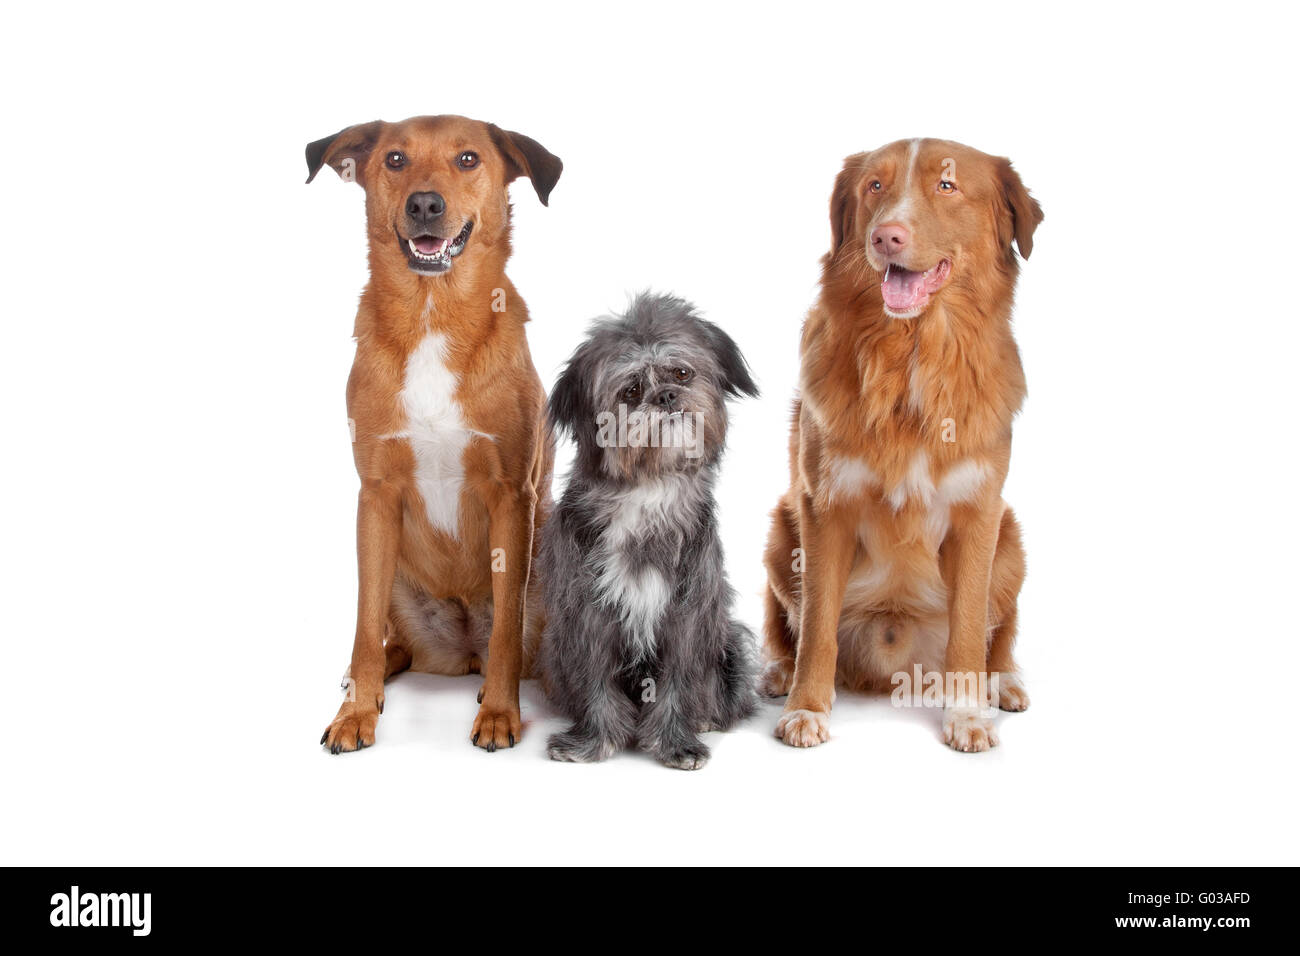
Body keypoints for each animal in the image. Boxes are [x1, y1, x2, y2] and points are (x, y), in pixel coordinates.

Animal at [310, 113, 564, 754]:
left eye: (468, 159)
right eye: (395, 160)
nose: (425, 203)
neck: (433, 313)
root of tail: (458, 651)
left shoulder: (511, 495)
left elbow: (507, 638)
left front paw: (498, 713)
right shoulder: (375, 495)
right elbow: (362, 624)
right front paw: (356, 714)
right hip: (392, 570)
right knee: (383, 636)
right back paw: (368, 679)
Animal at [538, 291, 759, 770]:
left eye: (682, 372)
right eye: (631, 391)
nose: (668, 396)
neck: (647, 491)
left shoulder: (687, 615)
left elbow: (678, 682)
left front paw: (676, 743)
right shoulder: (586, 615)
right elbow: (596, 682)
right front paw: (593, 742)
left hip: (729, 640)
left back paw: (707, 717)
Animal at [764, 140, 1040, 754]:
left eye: (947, 186)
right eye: (874, 187)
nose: (885, 236)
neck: (912, 352)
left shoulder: (979, 513)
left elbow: (969, 631)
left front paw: (967, 714)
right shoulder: (823, 508)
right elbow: (816, 626)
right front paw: (807, 707)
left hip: (1011, 537)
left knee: (1001, 631)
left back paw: (1004, 683)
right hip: (779, 533)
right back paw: (777, 672)